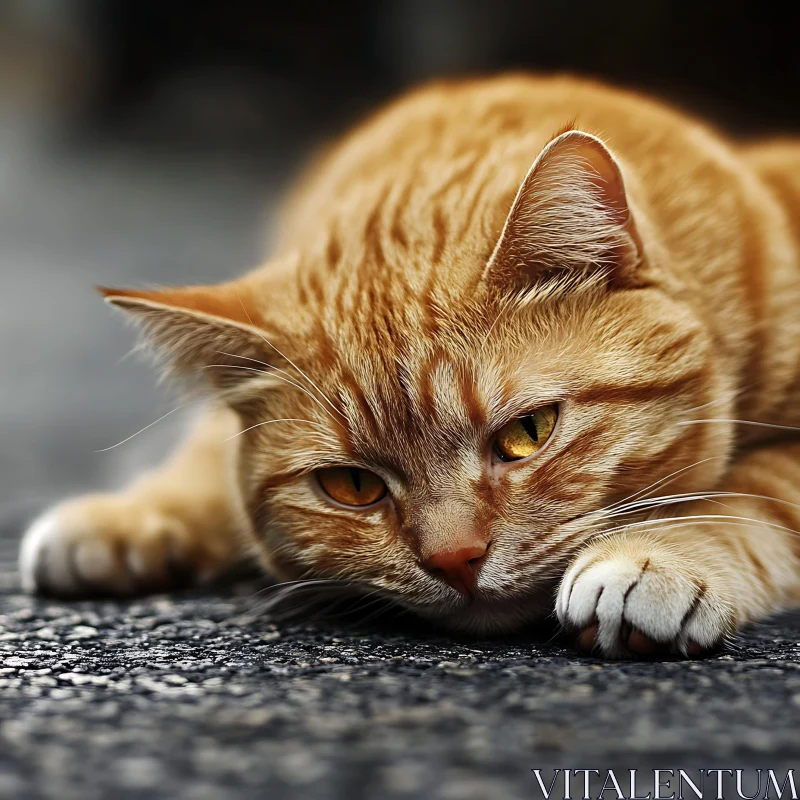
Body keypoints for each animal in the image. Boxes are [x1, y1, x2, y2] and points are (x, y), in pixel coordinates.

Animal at [20, 76, 800, 656]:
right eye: (353, 486)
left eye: (528, 434)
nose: (455, 559)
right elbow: (206, 450)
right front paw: (128, 515)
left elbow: (753, 490)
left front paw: (658, 556)